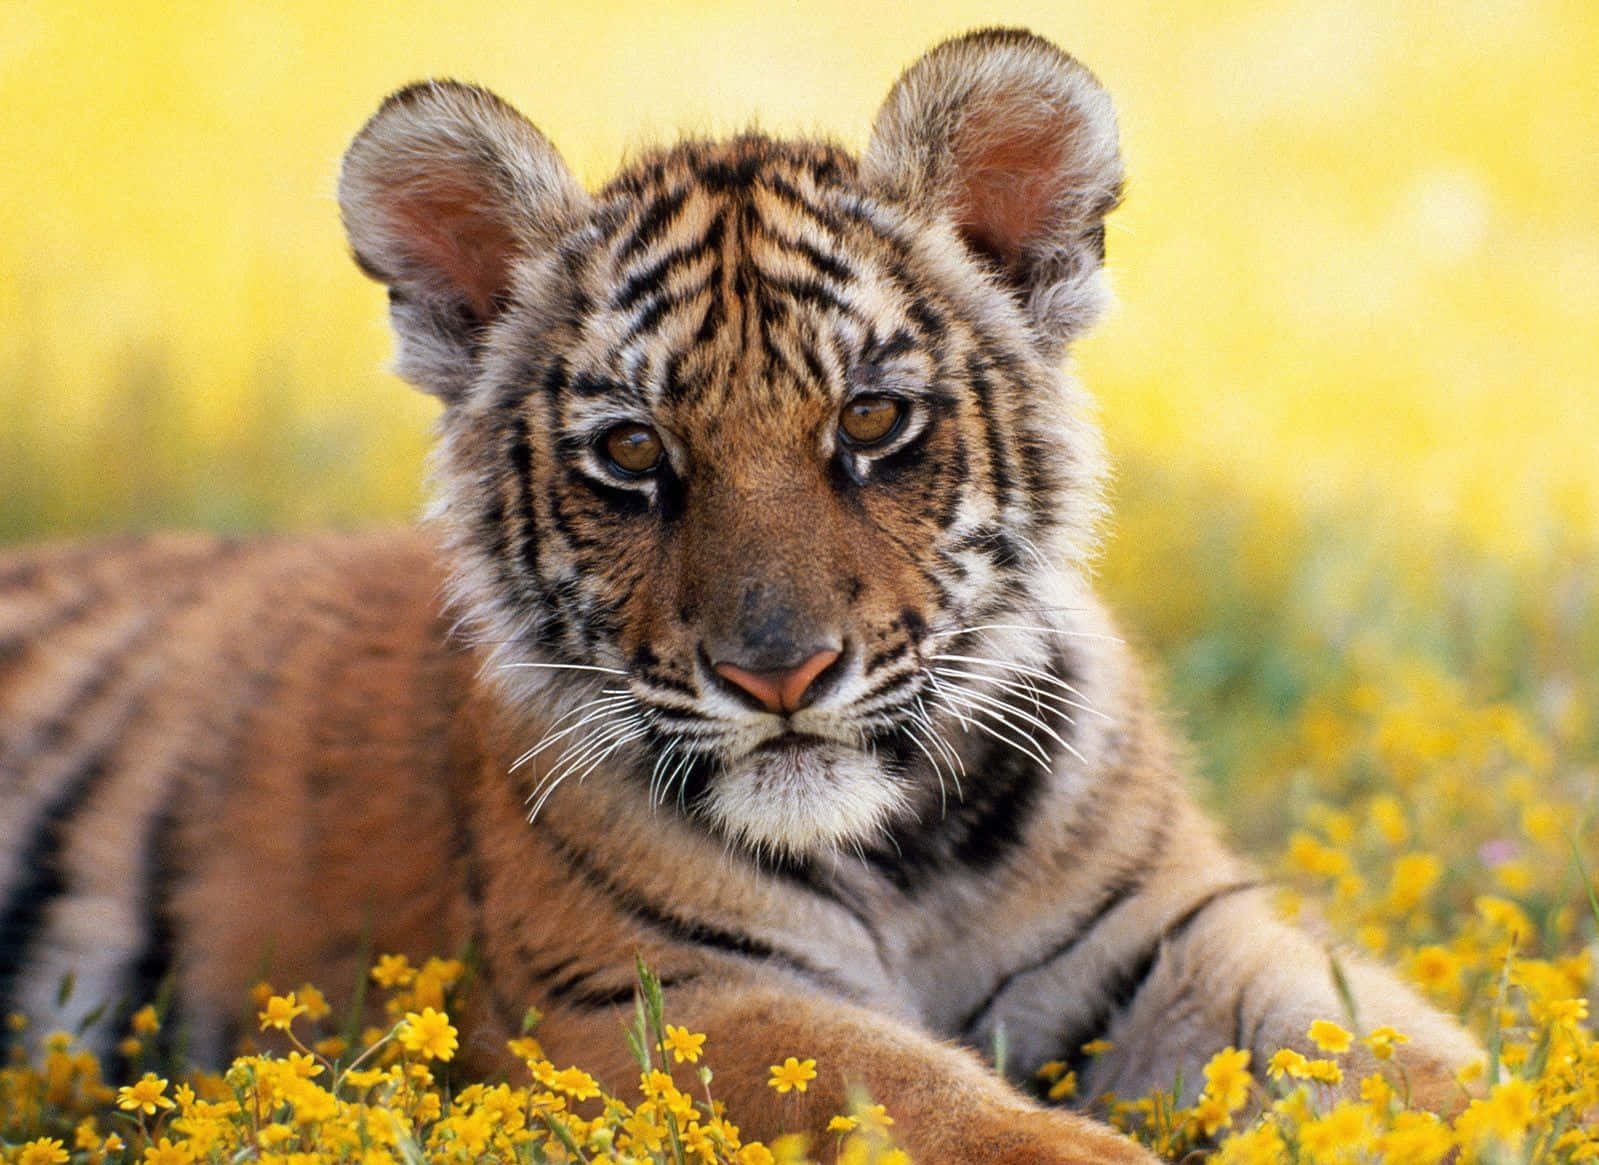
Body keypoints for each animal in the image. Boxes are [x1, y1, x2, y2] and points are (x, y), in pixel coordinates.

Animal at [0, 28, 1480, 1163]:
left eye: (871, 420)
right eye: (631, 453)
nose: (780, 674)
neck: (904, 853)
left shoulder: (1175, 936)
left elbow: (1408, 1054)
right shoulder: (654, 995)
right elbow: (931, 1100)